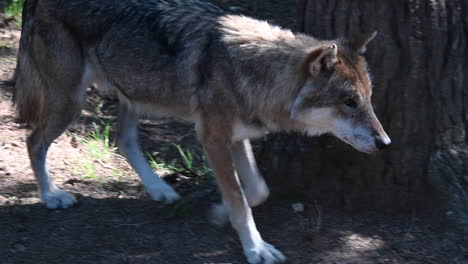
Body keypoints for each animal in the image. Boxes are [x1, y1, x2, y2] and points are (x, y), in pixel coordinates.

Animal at [13, 0, 392, 262]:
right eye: (349, 102)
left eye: (368, 99)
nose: (385, 142)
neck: (256, 72)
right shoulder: (213, 138)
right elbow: (242, 199)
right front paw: (256, 248)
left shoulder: (236, 137)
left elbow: (257, 190)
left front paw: (221, 212)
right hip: (72, 102)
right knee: (33, 140)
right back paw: (51, 196)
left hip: (134, 94)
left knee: (124, 141)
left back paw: (160, 190)